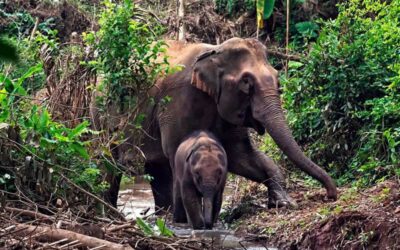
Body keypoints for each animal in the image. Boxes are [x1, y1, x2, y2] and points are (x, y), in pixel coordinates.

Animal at [116, 36, 338, 209]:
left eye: (278, 79)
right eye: (246, 82)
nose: (331, 195)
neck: (214, 51)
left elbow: (240, 155)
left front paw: (284, 202)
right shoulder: (176, 103)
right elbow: (178, 154)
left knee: (158, 172)